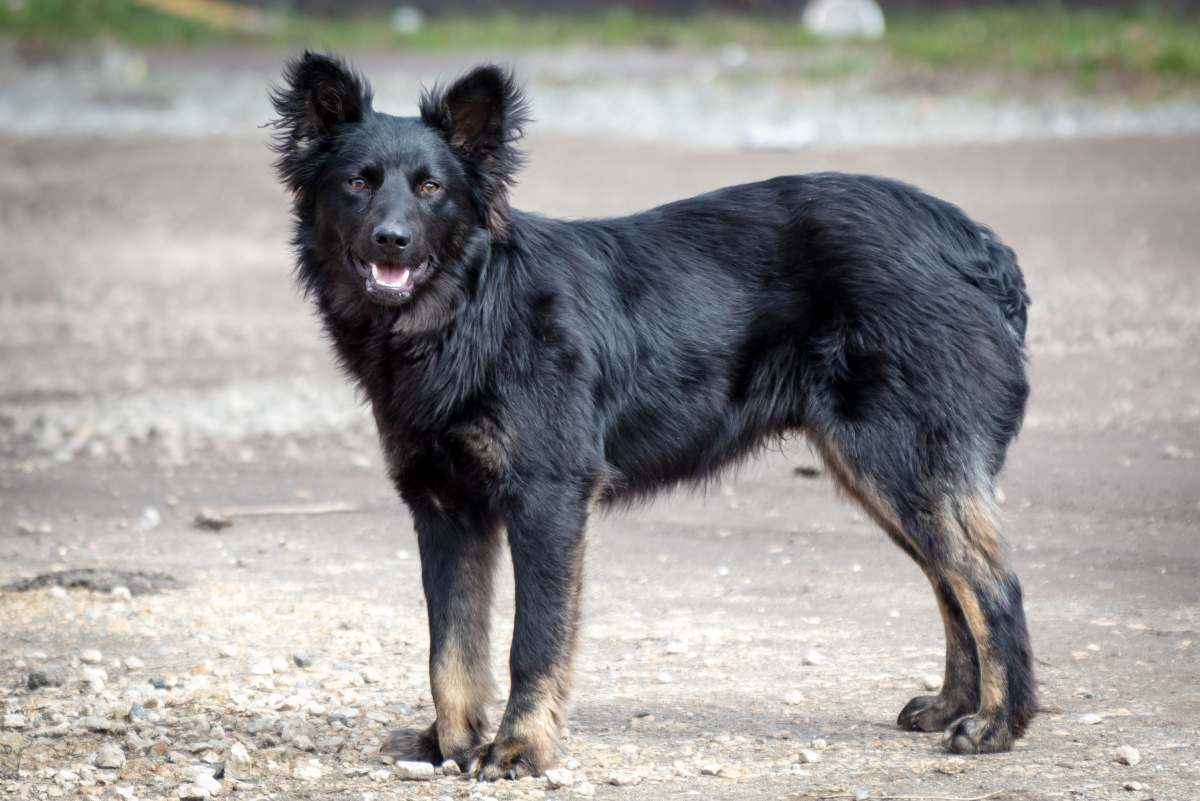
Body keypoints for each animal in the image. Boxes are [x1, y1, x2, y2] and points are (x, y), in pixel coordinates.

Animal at [270, 53, 1032, 777]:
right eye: (357, 183)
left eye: (432, 188)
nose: (391, 239)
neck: (471, 309)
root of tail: (972, 242)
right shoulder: (444, 507)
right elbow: (449, 647)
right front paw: (449, 745)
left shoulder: (547, 500)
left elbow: (530, 642)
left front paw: (518, 747)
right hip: (884, 475)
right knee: (950, 583)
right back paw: (953, 706)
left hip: (900, 464)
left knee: (990, 585)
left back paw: (997, 724)